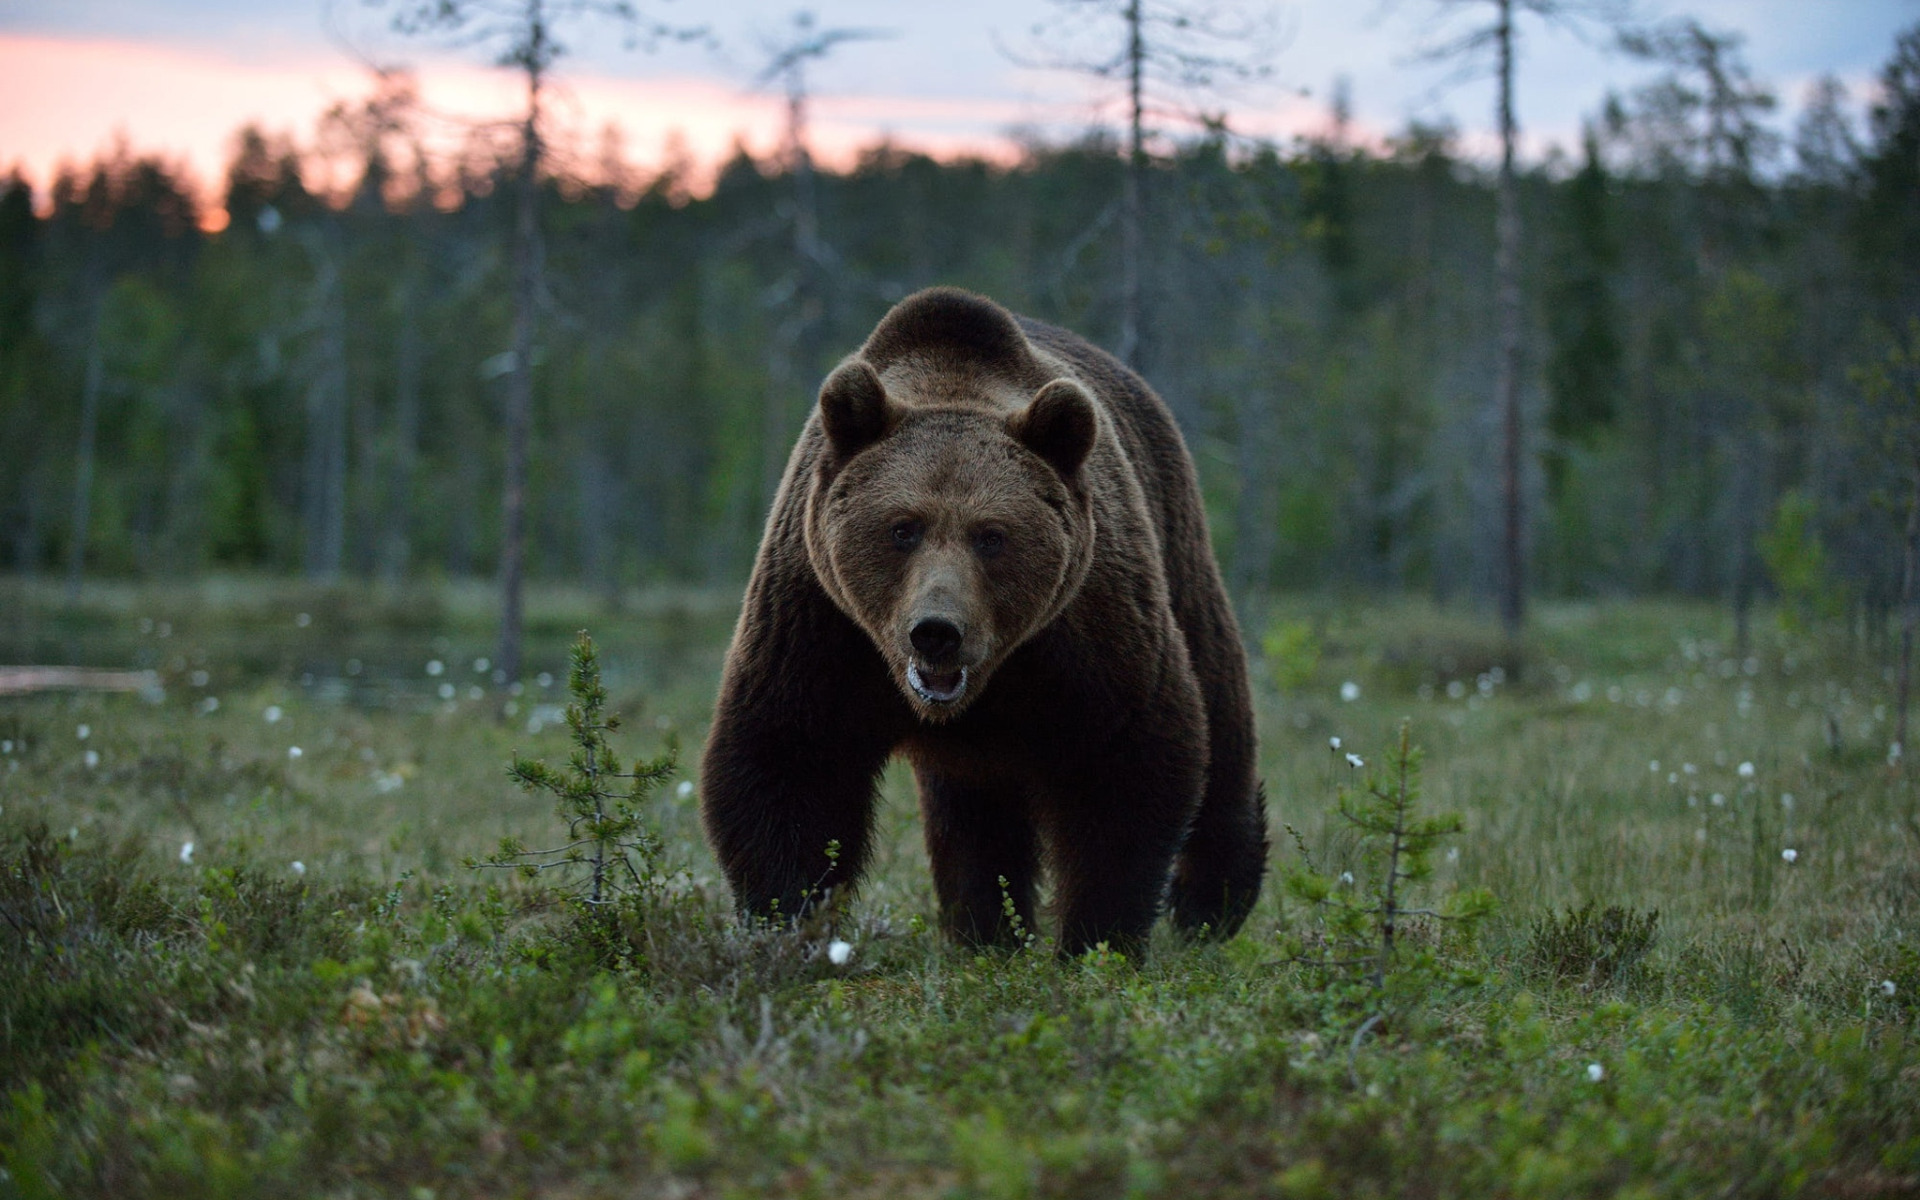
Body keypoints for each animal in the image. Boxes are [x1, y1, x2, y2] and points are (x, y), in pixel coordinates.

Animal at [698, 289, 1267, 956]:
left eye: (992, 535)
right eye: (902, 527)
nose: (936, 630)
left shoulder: (1090, 632)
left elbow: (1129, 761)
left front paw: (1097, 940)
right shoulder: (820, 622)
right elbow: (790, 759)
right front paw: (788, 926)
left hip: (1177, 541)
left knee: (1220, 712)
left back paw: (1214, 901)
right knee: (974, 814)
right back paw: (983, 928)